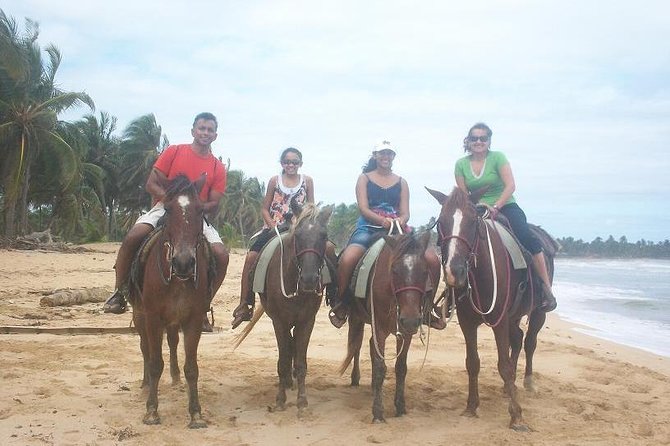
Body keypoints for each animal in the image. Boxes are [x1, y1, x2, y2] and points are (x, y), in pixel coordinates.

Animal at [129, 174, 215, 428]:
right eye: (167, 209)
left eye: (200, 210)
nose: (184, 262)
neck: (178, 278)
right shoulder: (153, 318)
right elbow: (155, 362)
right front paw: (151, 411)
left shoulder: (193, 320)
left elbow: (192, 367)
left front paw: (196, 413)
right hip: (140, 315)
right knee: (145, 348)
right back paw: (145, 384)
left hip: (174, 321)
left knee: (173, 343)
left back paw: (176, 378)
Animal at [338, 232, 438, 424]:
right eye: (394, 271)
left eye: (424, 272)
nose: (411, 320)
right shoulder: (380, 330)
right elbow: (379, 368)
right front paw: (378, 413)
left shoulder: (405, 333)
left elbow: (401, 367)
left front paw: (400, 407)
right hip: (356, 318)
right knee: (357, 346)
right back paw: (356, 379)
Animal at [428, 186, 560, 430]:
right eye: (441, 221)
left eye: (473, 221)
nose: (454, 272)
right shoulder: (468, 322)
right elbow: (473, 362)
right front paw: (471, 407)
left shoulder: (499, 319)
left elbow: (504, 364)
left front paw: (517, 416)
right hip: (514, 316)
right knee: (518, 338)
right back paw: (510, 387)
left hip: (538, 312)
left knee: (530, 342)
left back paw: (527, 382)